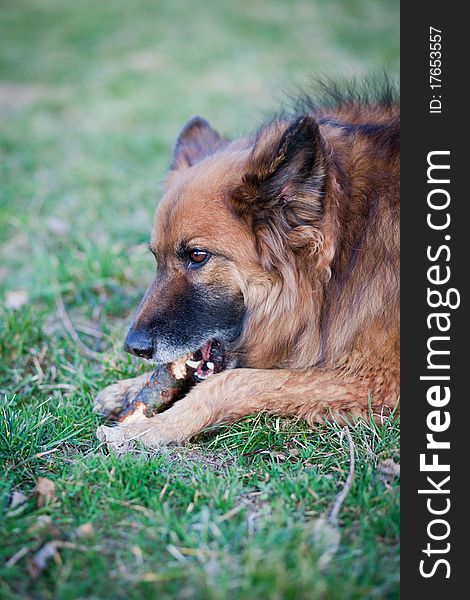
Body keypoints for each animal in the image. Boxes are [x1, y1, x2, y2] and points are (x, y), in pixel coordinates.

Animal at [95, 79, 400, 448]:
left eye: (197, 256)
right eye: (156, 258)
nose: (134, 348)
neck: (349, 244)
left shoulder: (378, 380)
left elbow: (232, 382)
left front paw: (149, 428)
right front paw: (129, 388)